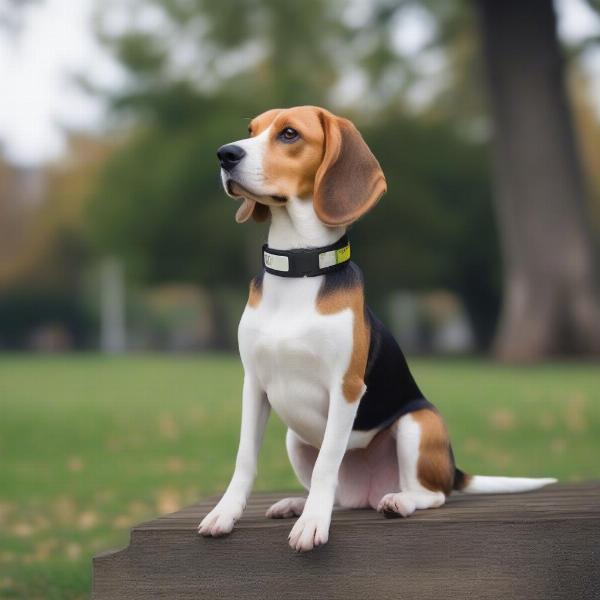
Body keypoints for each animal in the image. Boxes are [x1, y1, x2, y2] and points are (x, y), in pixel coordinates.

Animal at [198, 105, 556, 552]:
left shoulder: (347, 386)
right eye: (251, 130)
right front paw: (225, 513)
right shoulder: (254, 385)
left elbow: (327, 463)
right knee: (340, 494)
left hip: (418, 423)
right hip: (295, 437)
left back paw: (398, 501)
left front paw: (313, 524)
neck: (299, 267)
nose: (225, 154)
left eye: (289, 134)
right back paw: (297, 503)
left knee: (432, 494)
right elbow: (245, 458)